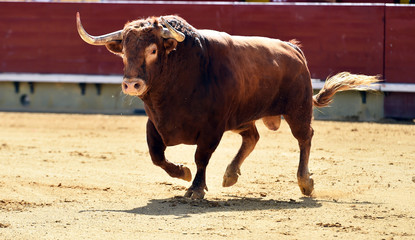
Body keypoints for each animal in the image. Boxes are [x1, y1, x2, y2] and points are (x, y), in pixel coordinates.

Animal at [75, 13, 380, 200]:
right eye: (124, 53)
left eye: (152, 50)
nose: (132, 84)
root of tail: (293, 49)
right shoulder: (155, 124)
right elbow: (157, 156)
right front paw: (182, 172)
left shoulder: (212, 127)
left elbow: (201, 157)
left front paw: (195, 189)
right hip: (242, 117)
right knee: (252, 137)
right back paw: (231, 174)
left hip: (298, 109)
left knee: (305, 138)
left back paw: (305, 182)